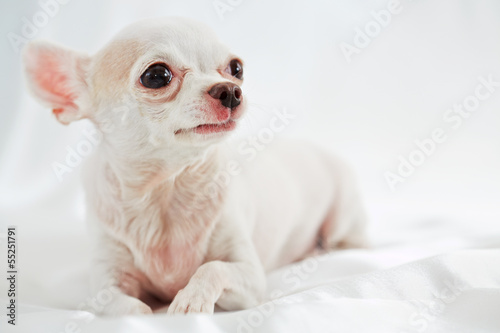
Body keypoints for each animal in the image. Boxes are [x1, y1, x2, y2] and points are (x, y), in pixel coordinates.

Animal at [22, 17, 368, 314]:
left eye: (236, 68)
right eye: (156, 76)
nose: (231, 90)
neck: (166, 188)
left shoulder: (250, 276)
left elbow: (212, 268)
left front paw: (190, 300)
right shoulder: (105, 284)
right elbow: (127, 307)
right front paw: (146, 315)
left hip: (343, 218)